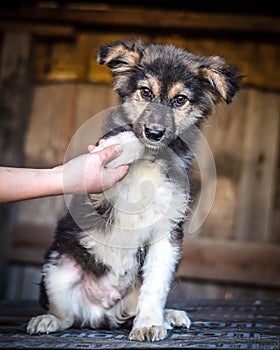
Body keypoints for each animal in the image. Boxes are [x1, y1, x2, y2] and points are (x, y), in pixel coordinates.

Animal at [27, 39, 241, 342]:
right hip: (57, 269)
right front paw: (121, 145)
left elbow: (156, 287)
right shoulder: (99, 193)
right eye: (145, 92)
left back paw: (168, 316)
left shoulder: (168, 230)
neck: (151, 160)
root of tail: (102, 312)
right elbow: (126, 135)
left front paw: (150, 323)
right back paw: (47, 319)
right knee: (65, 315)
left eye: (180, 100)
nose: (154, 133)